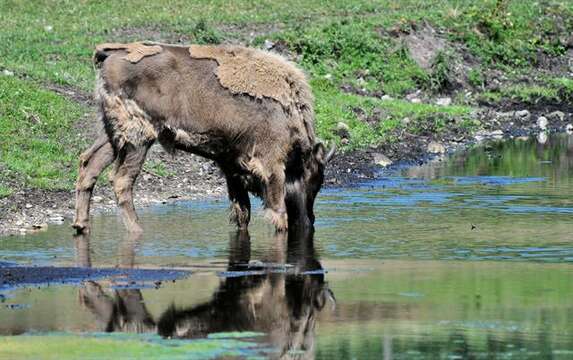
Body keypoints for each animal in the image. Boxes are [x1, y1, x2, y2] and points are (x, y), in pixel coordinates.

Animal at [73, 42, 332, 233]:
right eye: (314, 180)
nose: (309, 222)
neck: (289, 110)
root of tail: (110, 54)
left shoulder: (232, 168)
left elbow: (242, 213)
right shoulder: (271, 166)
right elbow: (278, 213)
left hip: (112, 136)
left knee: (89, 164)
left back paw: (81, 225)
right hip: (139, 139)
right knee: (121, 180)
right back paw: (137, 230)